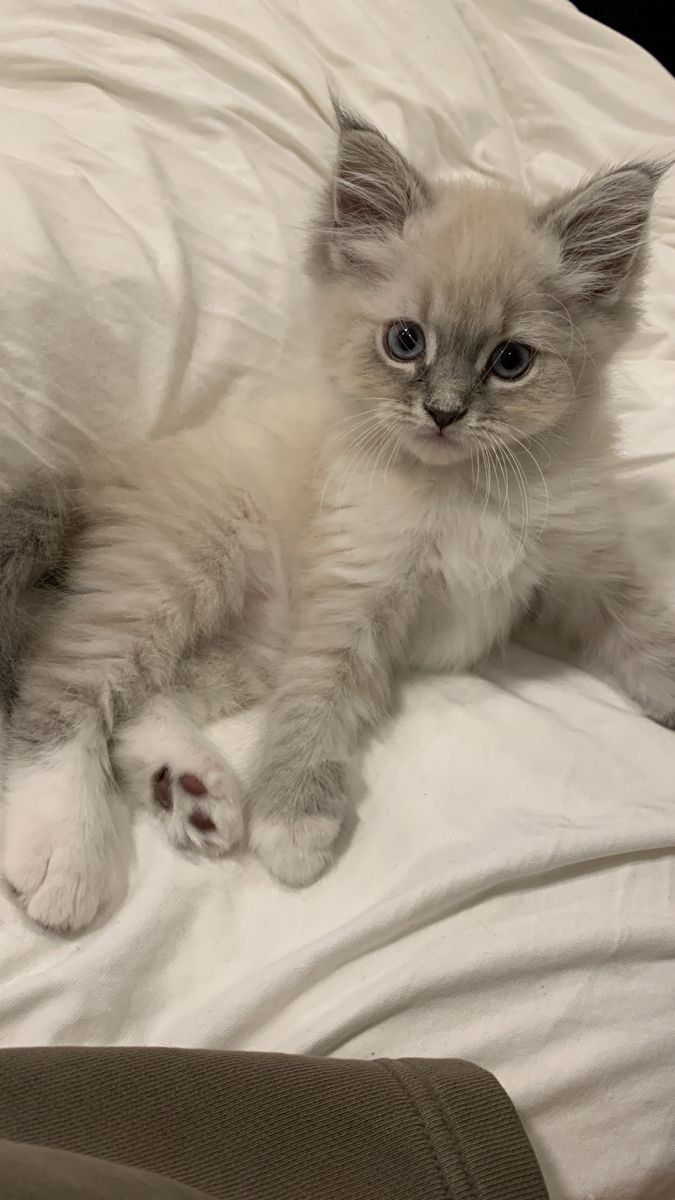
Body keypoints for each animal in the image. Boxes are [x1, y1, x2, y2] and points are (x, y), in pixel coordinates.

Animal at [2, 108, 667, 931]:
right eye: (405, 341)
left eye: (510, 362)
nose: (443, 413)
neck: (463, 492)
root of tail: (110, 462)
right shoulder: (350, 597)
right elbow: (312, 706)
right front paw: (292, 823)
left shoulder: (586, 569)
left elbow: (648, 637)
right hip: (171, 577)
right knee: (59, 682)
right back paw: (63, 848)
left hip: (238, 647)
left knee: (139, 697)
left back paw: (192, 791)